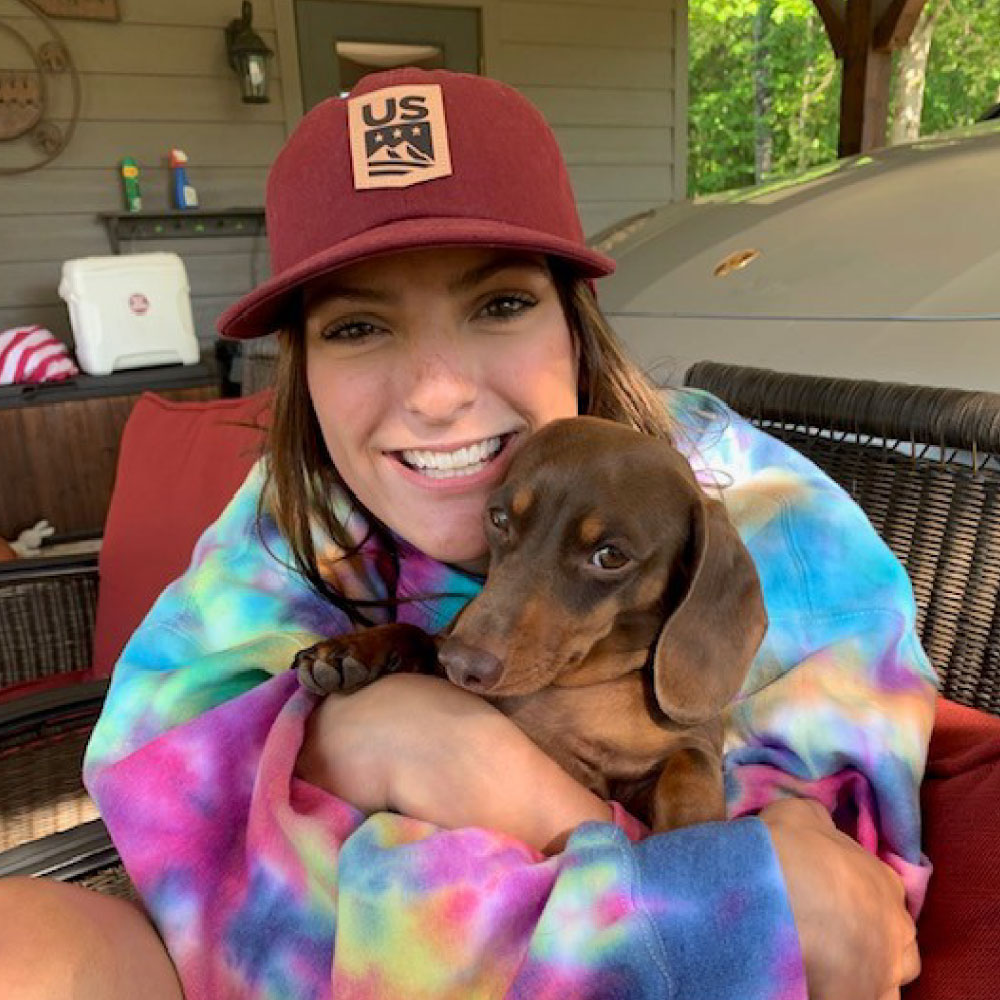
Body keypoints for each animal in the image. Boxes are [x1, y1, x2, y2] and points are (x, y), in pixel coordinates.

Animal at [294, 415, 767, 832]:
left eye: (611, 555)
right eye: (498, 518)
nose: (462, 664)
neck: (580, 687)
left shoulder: (676, 754)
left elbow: (689, 764)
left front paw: (692, 830)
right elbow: (416, 636)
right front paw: (350, 650)